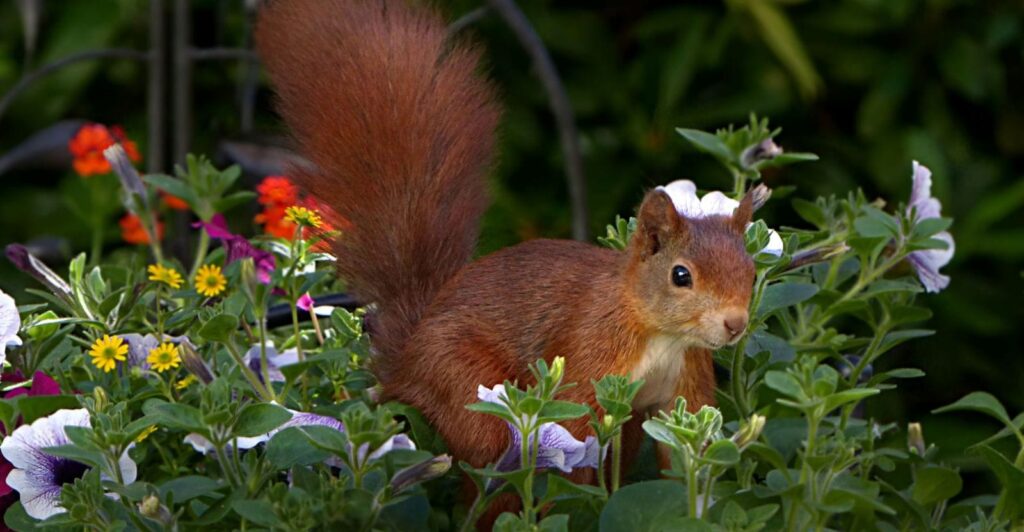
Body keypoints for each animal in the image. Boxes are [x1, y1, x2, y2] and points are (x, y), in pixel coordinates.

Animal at [255, 0, 754, 489]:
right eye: (681, 275)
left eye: (751, 273)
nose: (735, 324)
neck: (661, 335)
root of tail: (405, 360)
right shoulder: (590, 356)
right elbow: (575, 429)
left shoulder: (684, 385)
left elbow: (686, 455)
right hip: (463, 383)